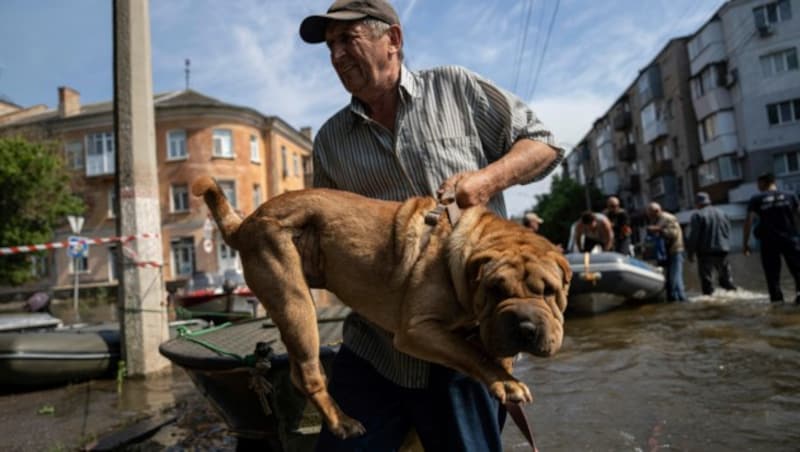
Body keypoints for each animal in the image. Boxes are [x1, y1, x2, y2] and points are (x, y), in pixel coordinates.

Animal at [192, 177, 568, 438]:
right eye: (495, 289)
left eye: (550, 291)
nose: (525, 326)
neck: (462, 260)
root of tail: (246, 223)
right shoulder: (418, 329)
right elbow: (471, 353)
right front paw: (504, 381)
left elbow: (484, 350)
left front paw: (505, 369)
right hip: (295, 301)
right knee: (311, 375)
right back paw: (342, 422)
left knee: (300, 373)